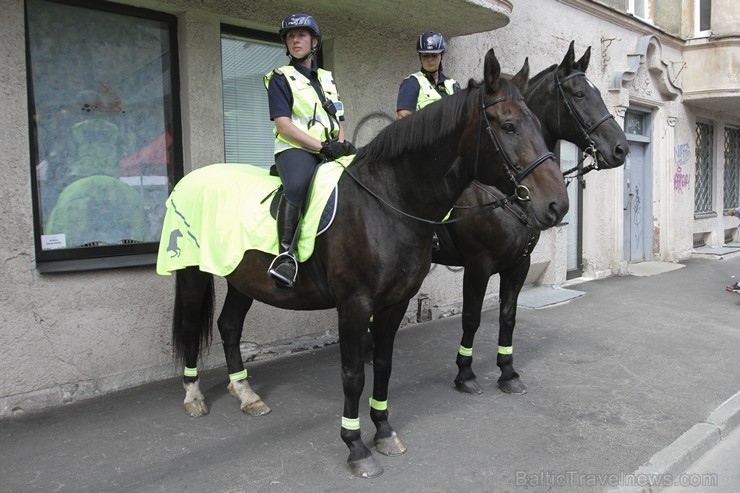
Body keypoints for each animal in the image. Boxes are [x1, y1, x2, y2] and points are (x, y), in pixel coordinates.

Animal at [162, 50, 568, 476]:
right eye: (508, 126)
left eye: (538, 124)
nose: (556, 205)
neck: (387, 202)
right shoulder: (357, 305)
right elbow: (354, 374)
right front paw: (355, 445)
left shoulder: (397, 302)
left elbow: (385, 365)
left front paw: (384, 430)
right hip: (191, 273)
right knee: (190, 327)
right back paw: (194, 396)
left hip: (243, 278)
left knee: (229, 325)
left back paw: (245, 393)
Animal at [440, 41, 632, 396]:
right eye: (579, 93)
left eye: (599, 92)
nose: (620, 149)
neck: (504, 188)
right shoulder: (478, 264)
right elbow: (472, 317)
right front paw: (465, 372)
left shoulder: (519, 264)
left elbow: (508, 316)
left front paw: (507, 371)